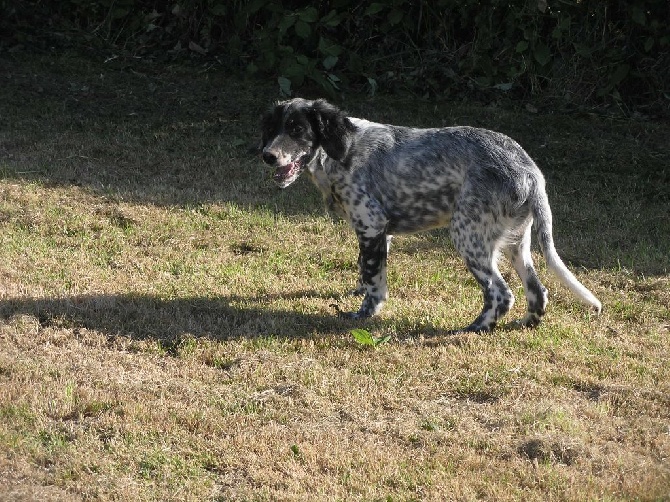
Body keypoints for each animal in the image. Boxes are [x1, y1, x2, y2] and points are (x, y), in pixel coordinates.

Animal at [258, 99, 604, 334]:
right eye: (273, 129)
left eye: (298, 130)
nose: (267, 156)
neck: (342, 151)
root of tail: (530, 171)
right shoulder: (381, 233)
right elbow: (367, 271)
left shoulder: (371, 224)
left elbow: (374, 283)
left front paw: (362, 314)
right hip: (516, 243)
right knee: (537, 292)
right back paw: (525, 324)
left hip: (468, 237)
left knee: (501, 293)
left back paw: (474, 329)